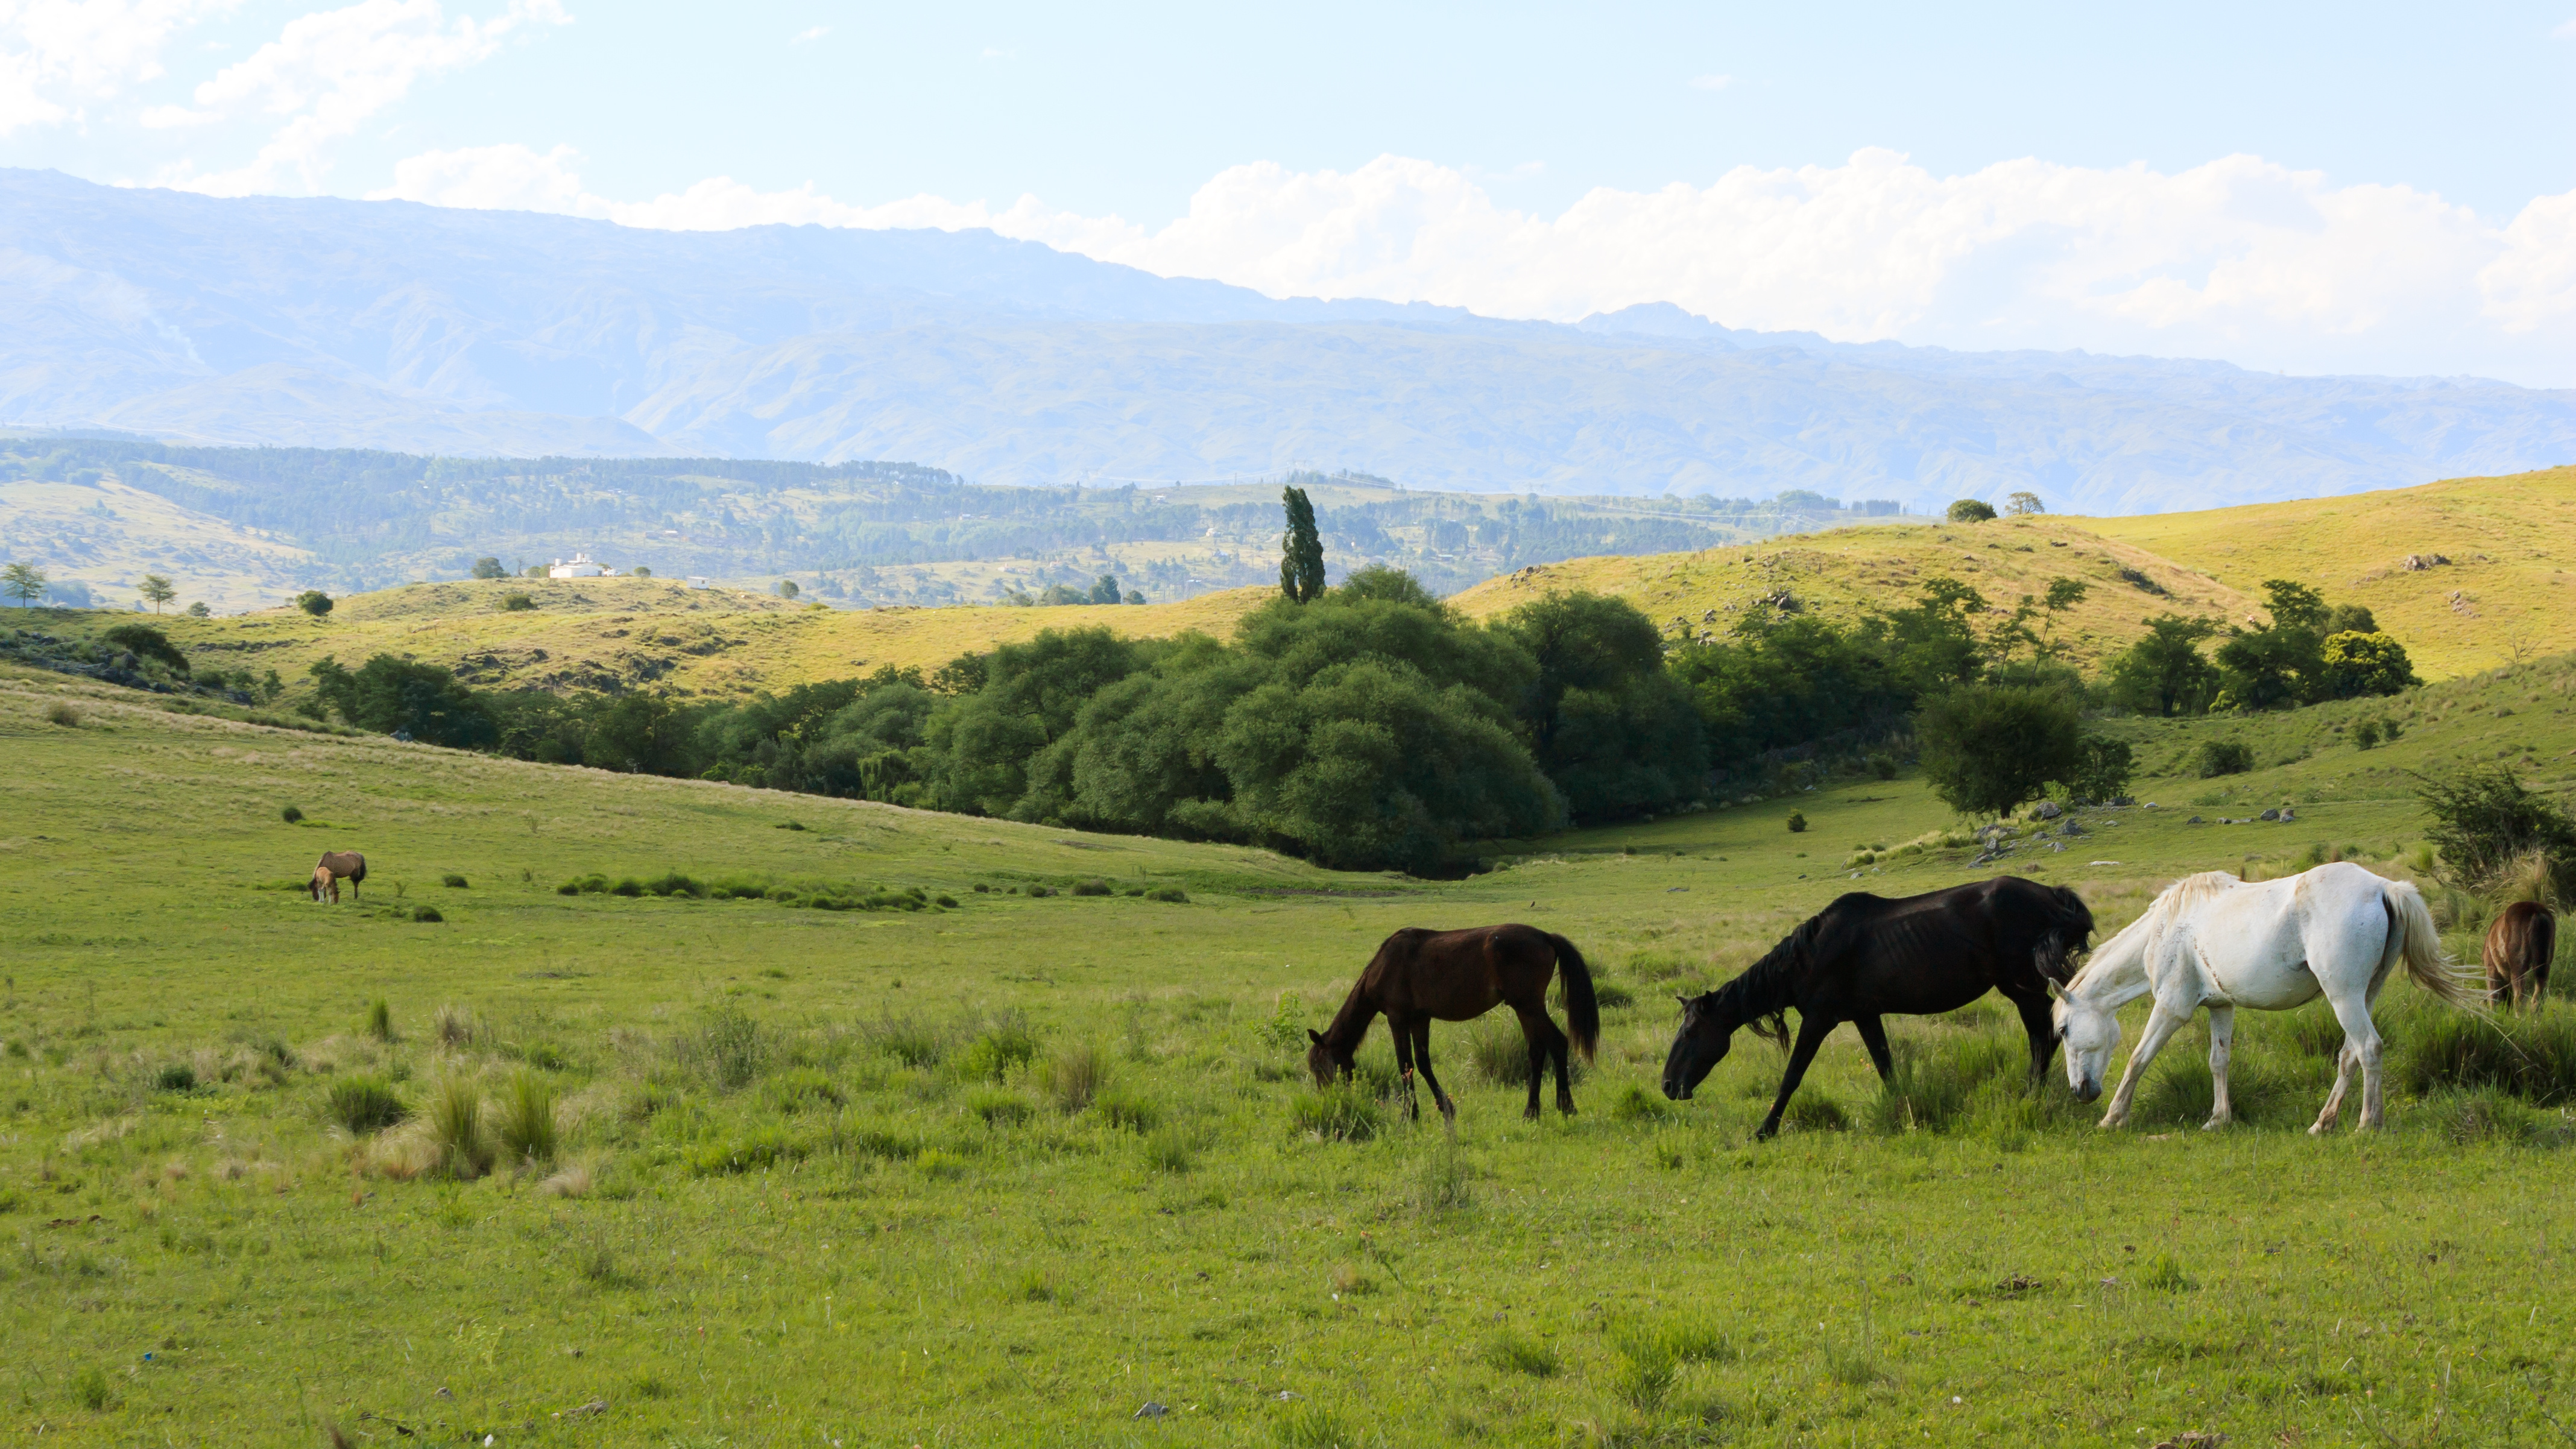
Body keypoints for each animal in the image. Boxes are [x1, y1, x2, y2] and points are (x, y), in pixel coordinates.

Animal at [1309, 918, 1586, 1124]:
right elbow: (1422, 1063)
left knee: (1558, 1043)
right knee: (1538, 1051)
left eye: (1318, 1068)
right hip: (1525, 1009)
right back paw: (1535, 1111)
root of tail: (1546, 937)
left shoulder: (1398, 1019)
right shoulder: (1420, 1019)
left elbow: (1405, 1065)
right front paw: (1444, 1108)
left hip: (1528, 1006)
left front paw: (1409, 1115)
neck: (1384, 965)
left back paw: (1563, 1107)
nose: (1327, 1101)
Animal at [1669, 876, 2091, 1134]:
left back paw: (2031, 1097)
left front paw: (1765, 1129)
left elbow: (1792, 1076)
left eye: (1690, 1031)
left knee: (2042, 1037)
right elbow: (1887, 1069)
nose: (1668, 1085)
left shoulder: (1818, 1020)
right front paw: (1905, 1114)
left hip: (2022, 988)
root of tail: (2051, 895)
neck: (1810, 955)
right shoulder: (1866, 1017)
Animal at [2050, 856, 2473, 1129]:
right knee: (2350, 1055)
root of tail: (2384, 887)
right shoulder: (2221, 1006)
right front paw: (2218, 1119)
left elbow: (2138, 1059)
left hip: (2344, 998)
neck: (2167, 927)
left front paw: (2113, 1118)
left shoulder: (2171, 1009)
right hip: (2364, 996)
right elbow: (2218, 1062)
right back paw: (2323, 1123)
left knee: (2369, 1048)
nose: (2080, 1092)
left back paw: (2368, 1123)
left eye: (2064, 1031)